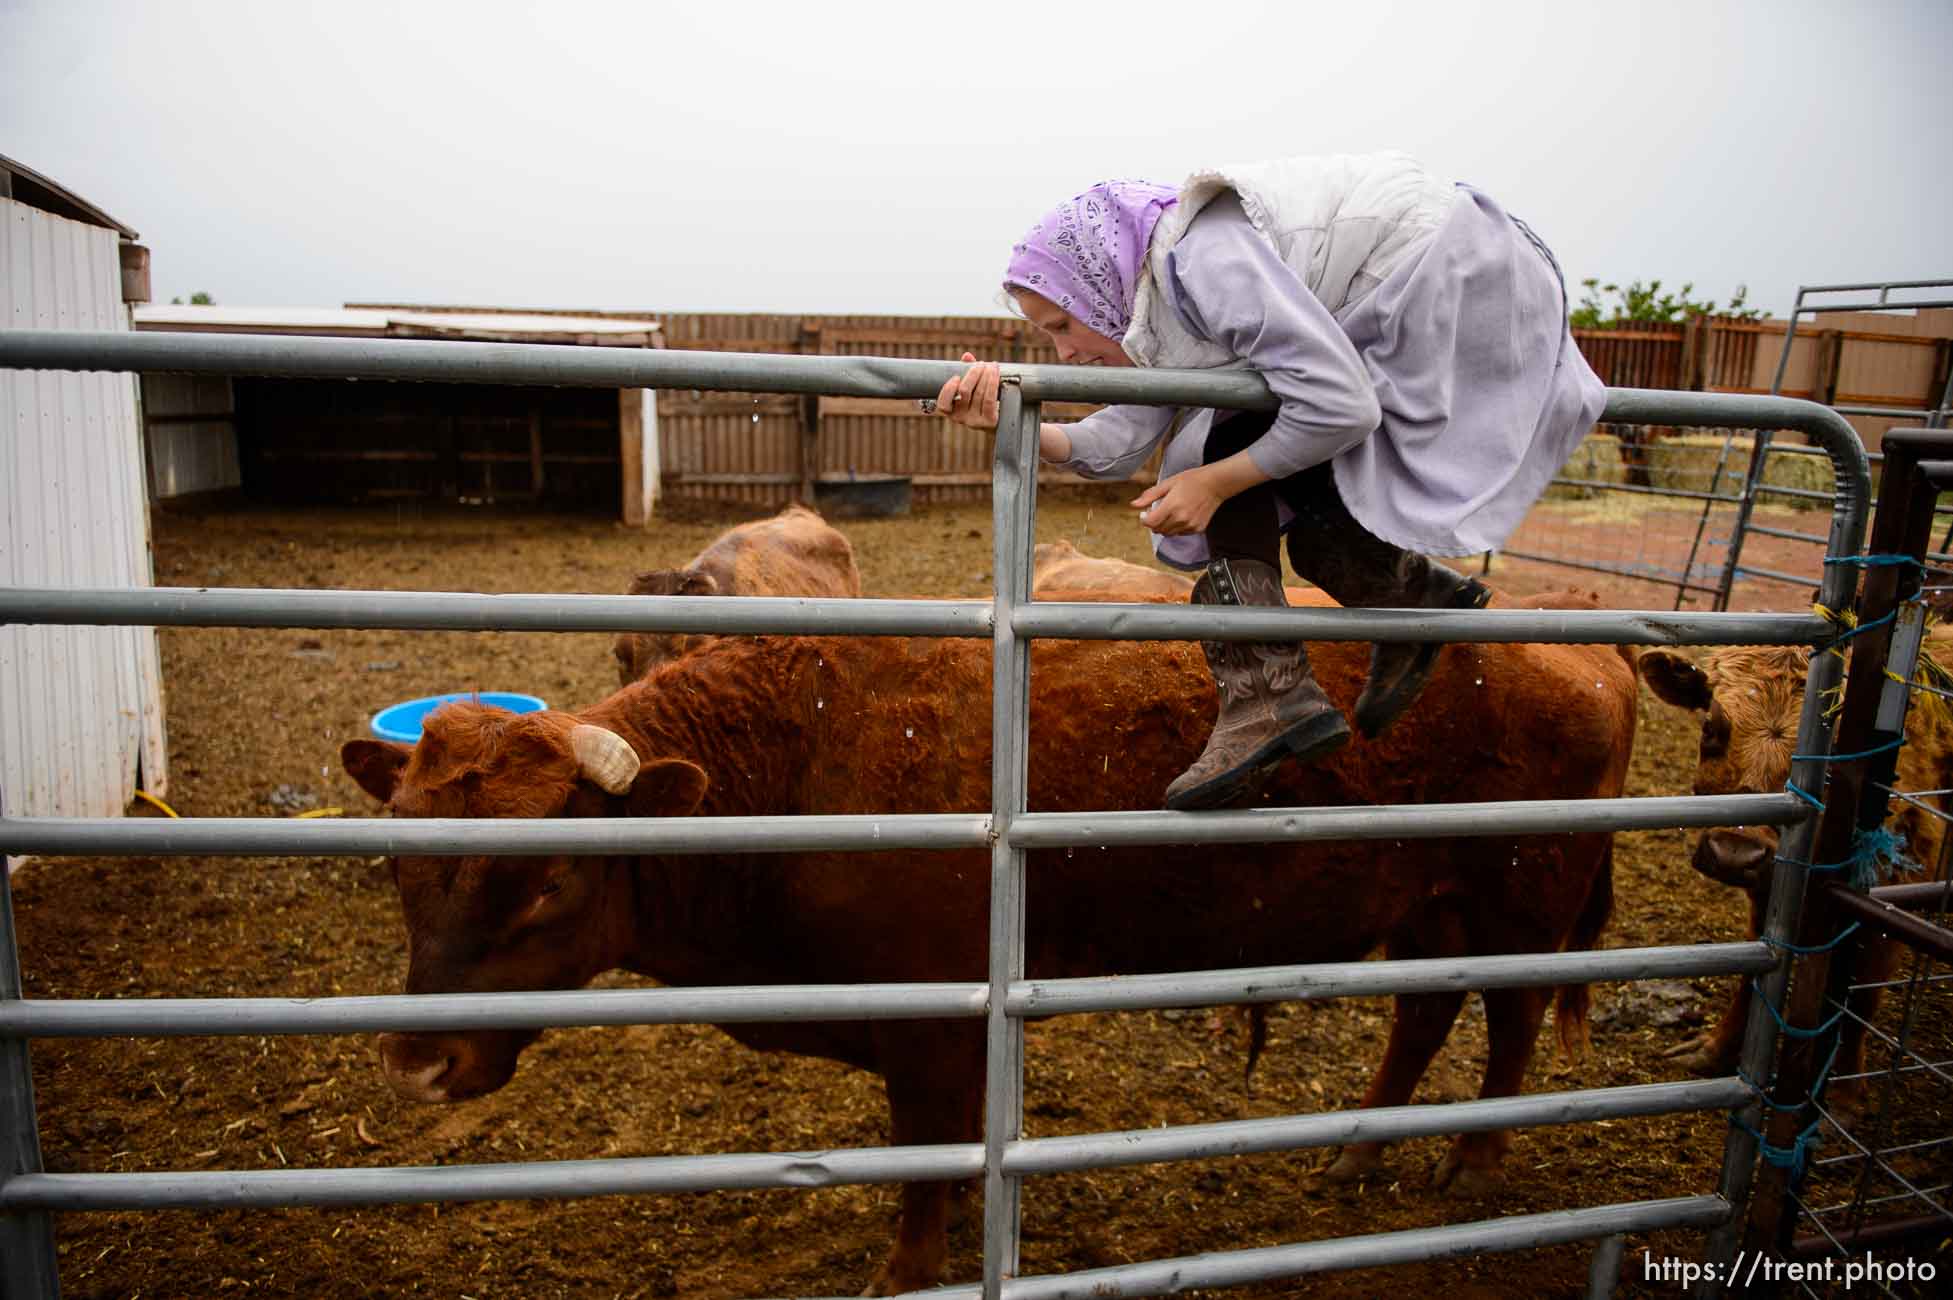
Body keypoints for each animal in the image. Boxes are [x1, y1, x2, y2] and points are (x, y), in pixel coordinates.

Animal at [347, 601, 1632, 1288]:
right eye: (402, 859)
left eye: (549, 878)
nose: (414, 1064)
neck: (798, 765)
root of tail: (1584, 652)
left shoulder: (931, 1030)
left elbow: (924, 1164)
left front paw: (908, 1270)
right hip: (1430, 911)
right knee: (1425, 1012)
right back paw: (1359, 1154)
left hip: (1521, 906)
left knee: (1510, 1021)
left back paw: (1473, 1164)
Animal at [1640, 644, 1945, 1085]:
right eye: (1710, 727)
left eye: (1830, 751)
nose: (1733, 853)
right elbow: (1754, 971)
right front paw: (1715, 1051)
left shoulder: (1899, 891)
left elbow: (1866, 994)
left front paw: (1845, 1088)